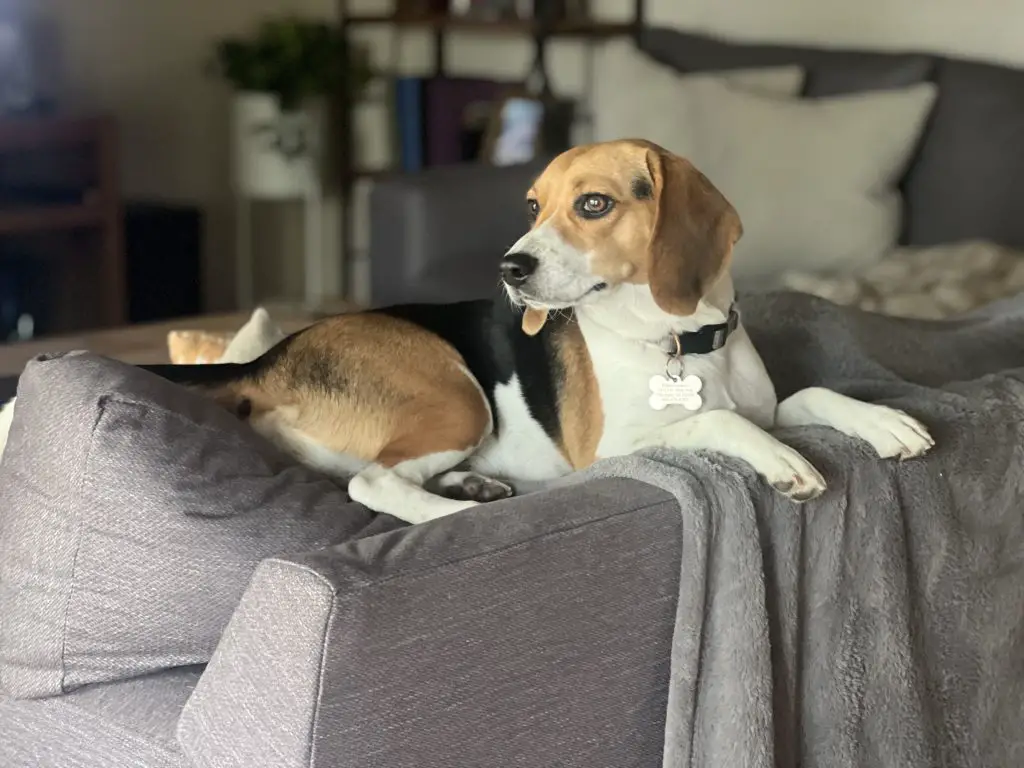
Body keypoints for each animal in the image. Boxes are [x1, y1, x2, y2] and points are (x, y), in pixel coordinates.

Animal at [146, 140, 937, 524]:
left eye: (593, 204)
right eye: (533, 205)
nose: (510, 267)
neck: (680, 343)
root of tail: (271, 358)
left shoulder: (771, 402)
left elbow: (809, 399)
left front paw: (884, 421)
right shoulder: (610, 449)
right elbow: (719, 421)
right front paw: (782, 461)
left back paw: (473, 484)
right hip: (458, 395)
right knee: (374, 485)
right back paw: (451, 513)